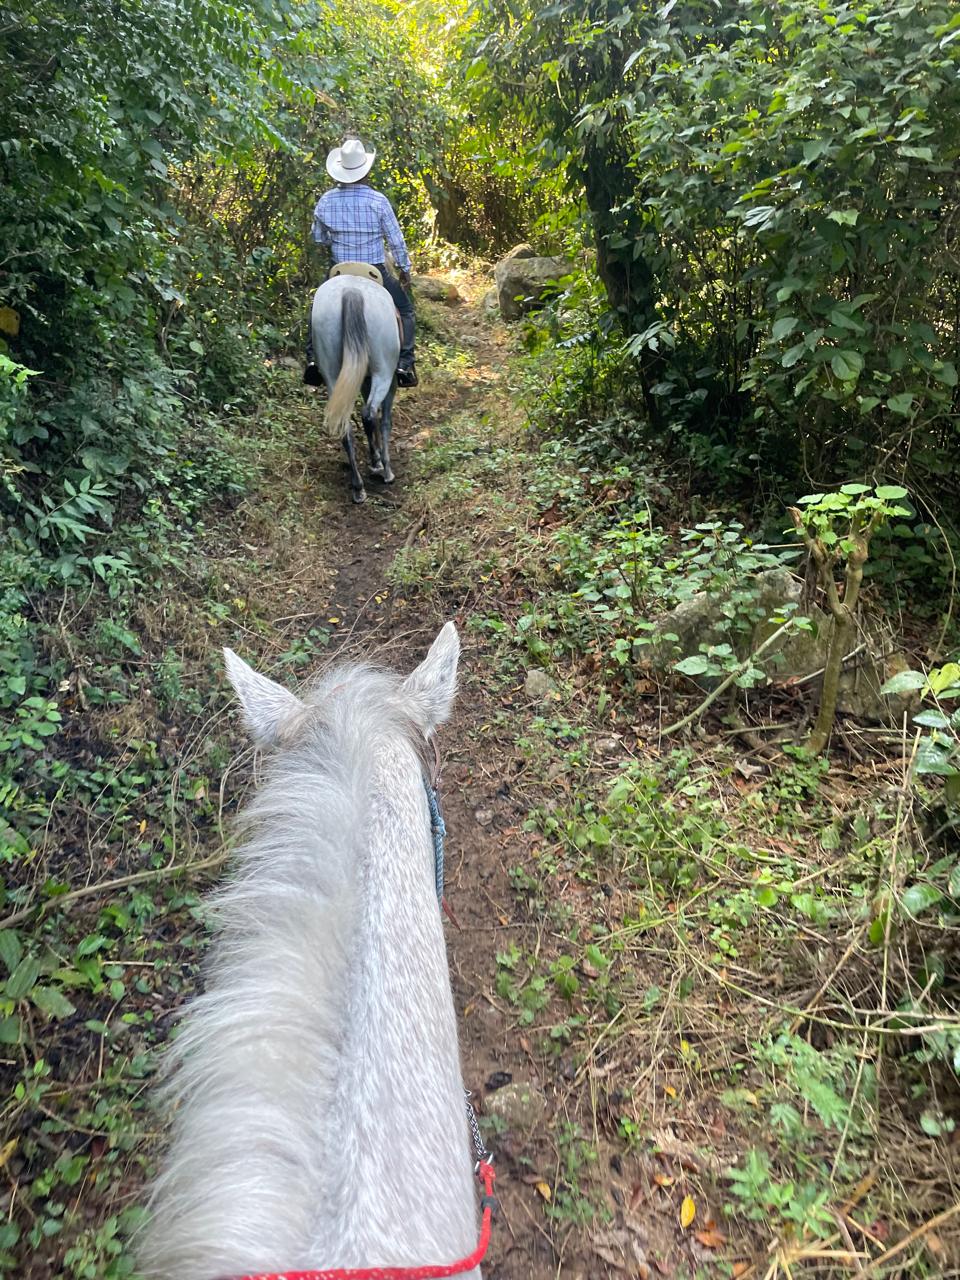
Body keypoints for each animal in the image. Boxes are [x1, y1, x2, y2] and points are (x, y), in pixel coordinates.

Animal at [313, 274, 400, 505]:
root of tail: (351, 291)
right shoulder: (390, 382)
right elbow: (384, 421)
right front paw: (382, 464)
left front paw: (375, 458)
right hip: (383, 372)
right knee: (369, 414)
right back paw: (384, 470)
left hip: (332, 373)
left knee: (346, 426)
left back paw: (358, 487)